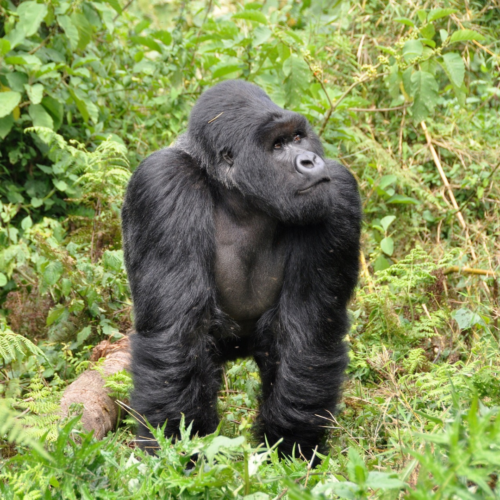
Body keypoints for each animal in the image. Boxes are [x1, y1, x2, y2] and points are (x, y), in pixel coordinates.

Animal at [123, 79, 362, 460]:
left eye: (298, 137)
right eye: (277, 145)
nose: (309, 160)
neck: (241, 198)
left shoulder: (337, 191)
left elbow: (308, 334)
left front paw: (290, 447)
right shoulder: (163, 183)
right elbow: (177, 334)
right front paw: (179, 452)